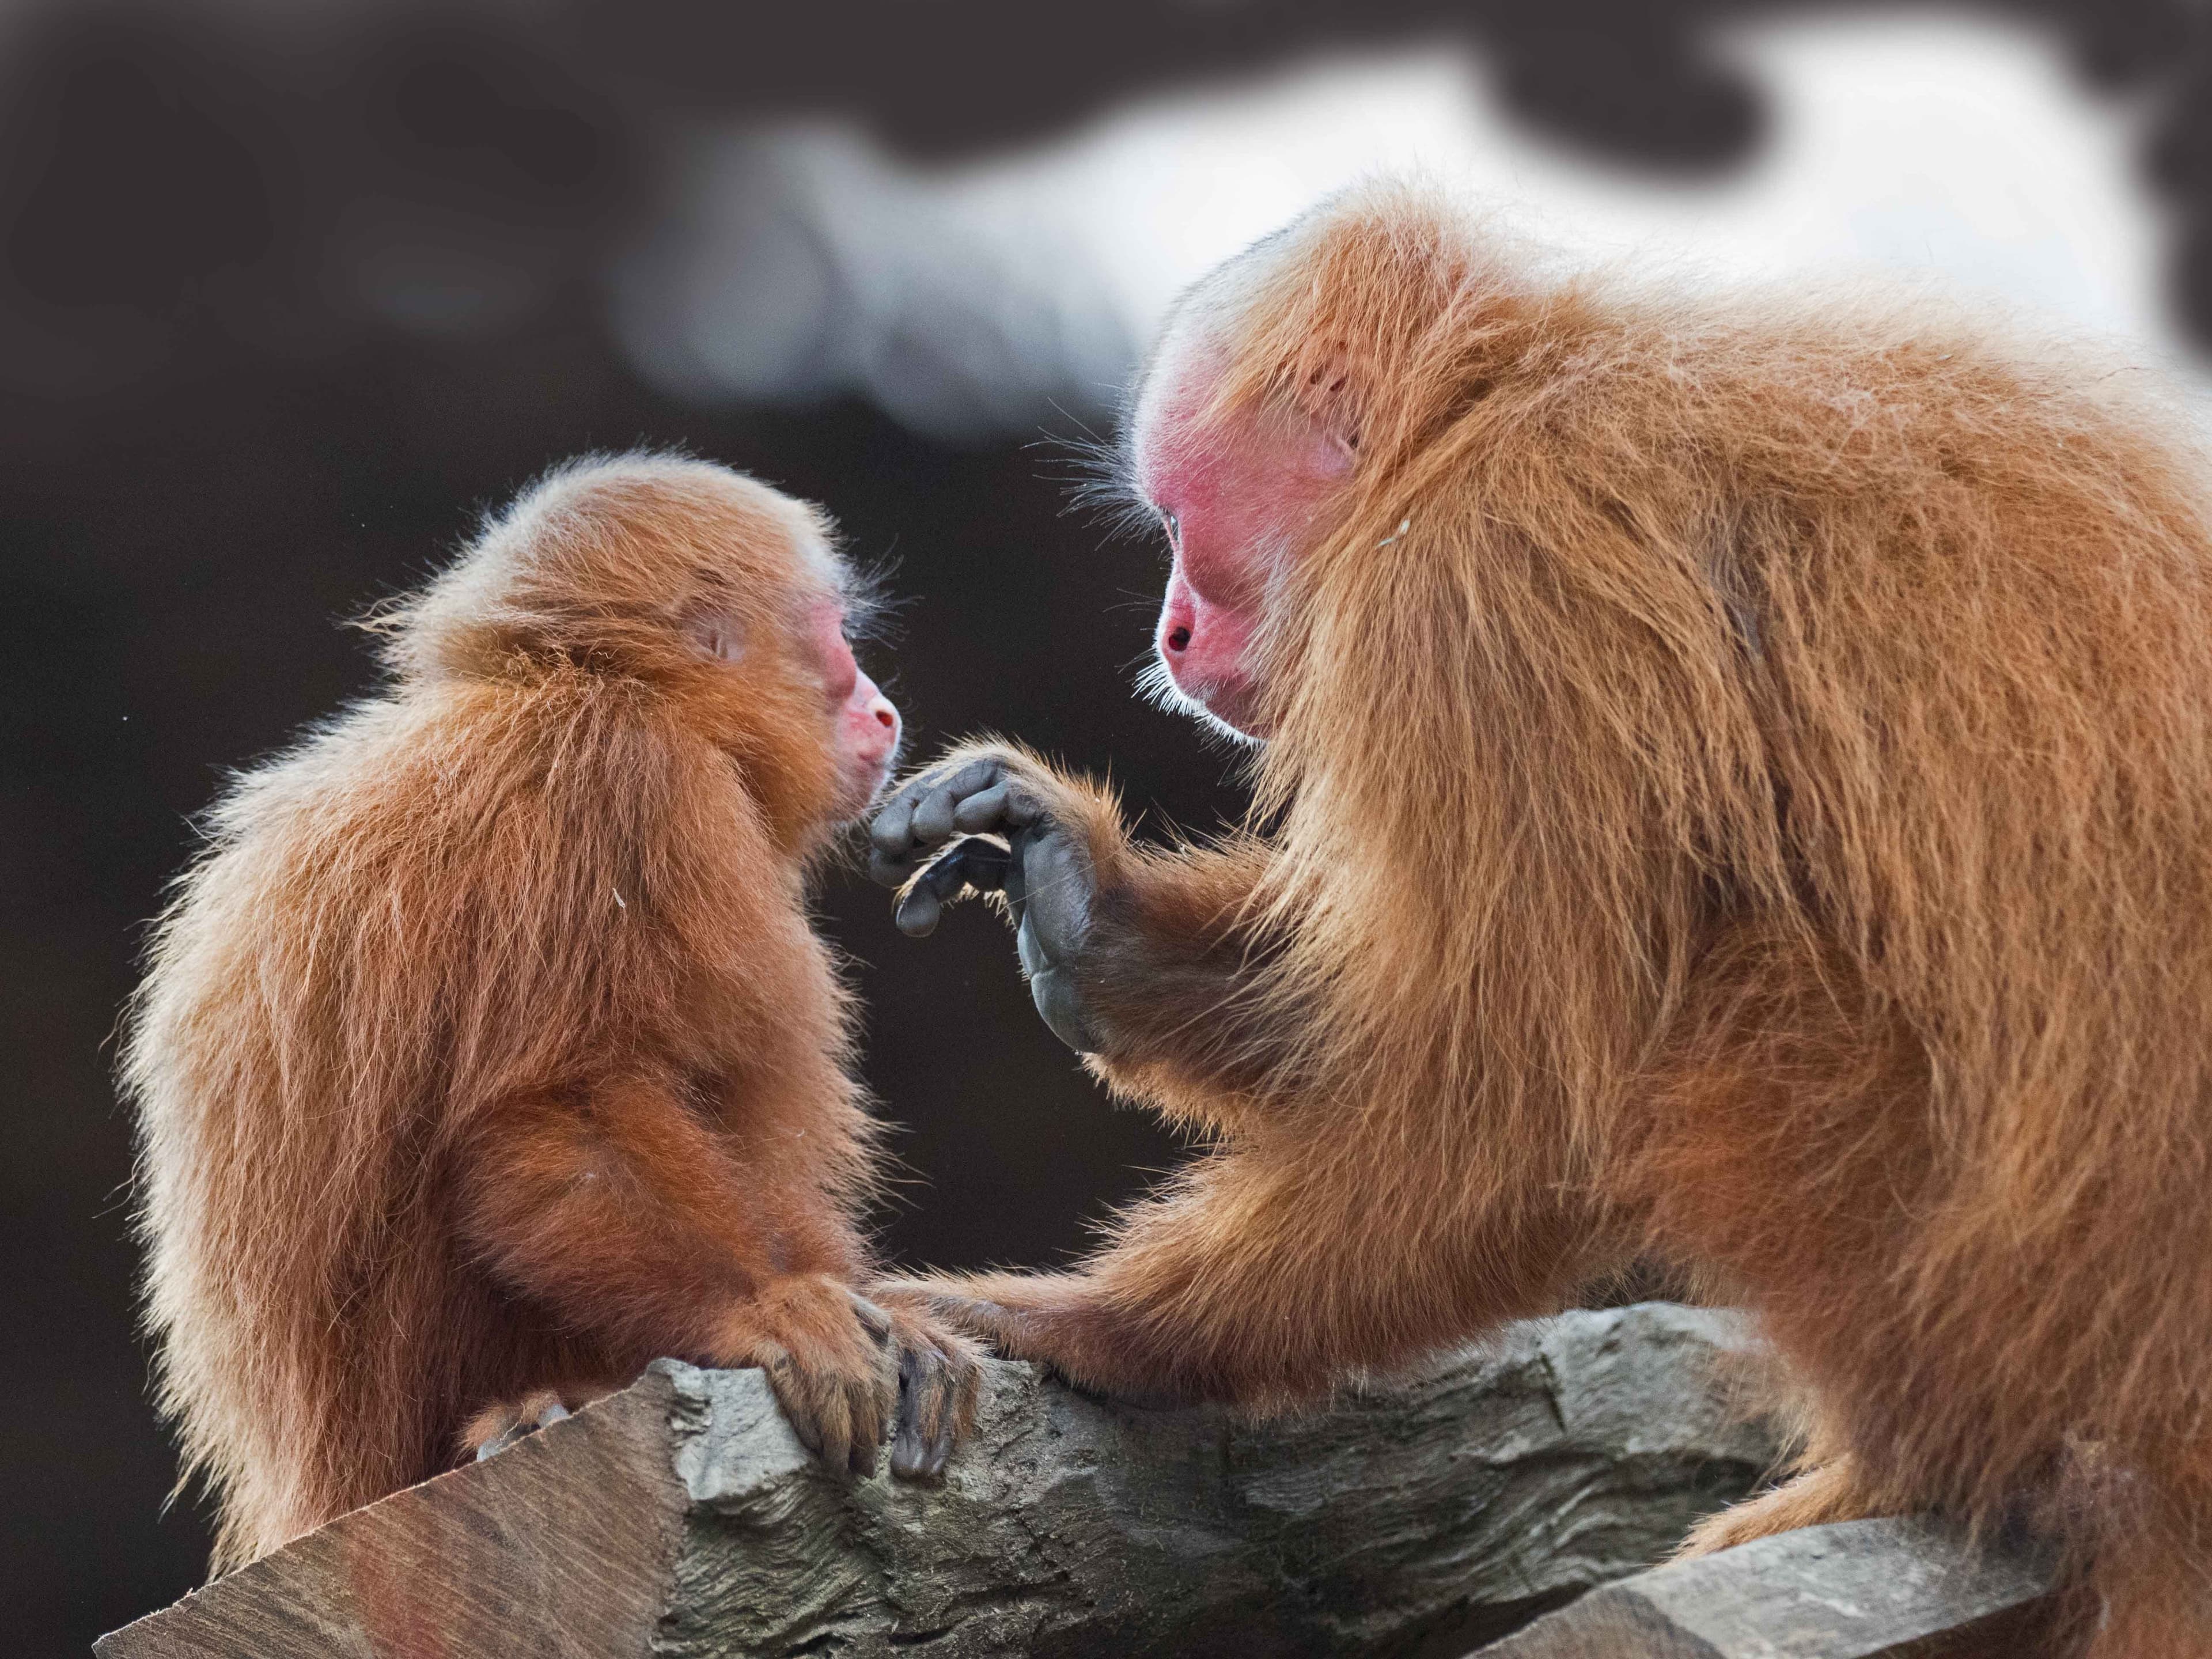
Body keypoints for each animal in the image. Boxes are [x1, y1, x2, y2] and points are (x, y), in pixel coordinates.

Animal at [121, 454, 980, 1573]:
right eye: (837, 642)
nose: (879, 709)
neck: (582, 685)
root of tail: (321, 1491)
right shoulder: (630, 786)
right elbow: (556, 1116)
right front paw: (764, 1308)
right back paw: (532, 1411)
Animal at [867, 184, 2212, 1656]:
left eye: (1182, 523)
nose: (1169, 632)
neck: (1483, 413)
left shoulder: (1486, 591)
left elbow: (1512, 1103)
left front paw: (1100, 1335)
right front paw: (1091, 918)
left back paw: (1922, 1472)